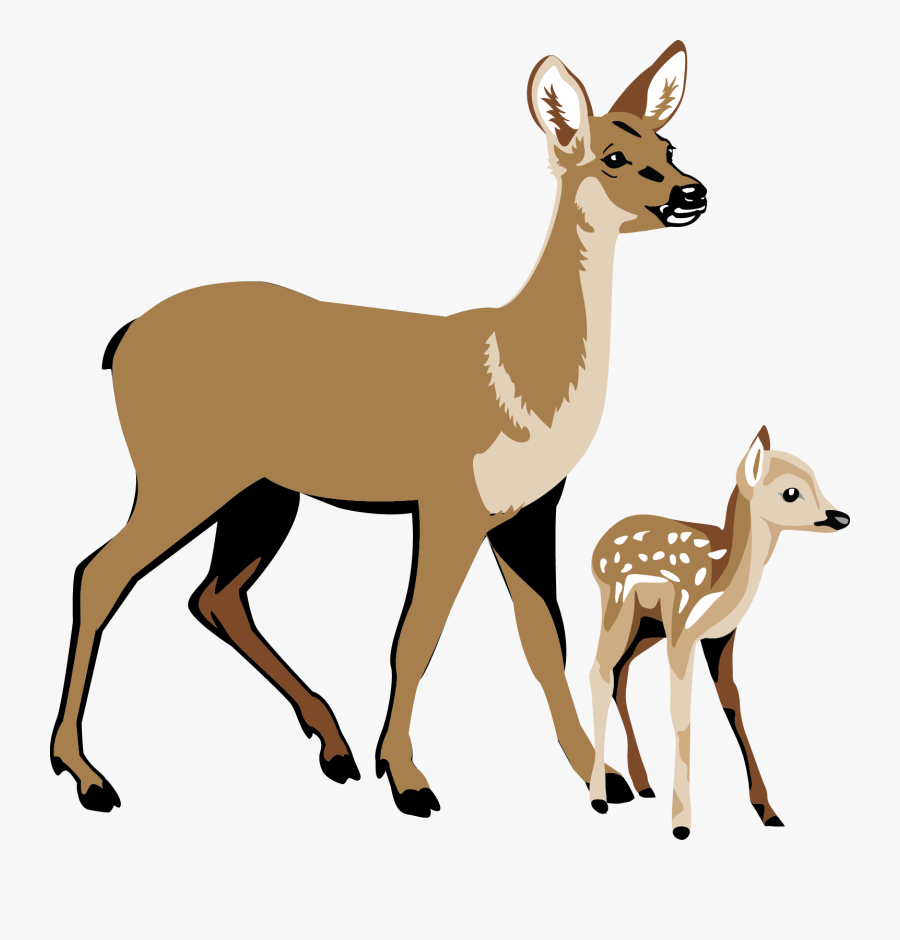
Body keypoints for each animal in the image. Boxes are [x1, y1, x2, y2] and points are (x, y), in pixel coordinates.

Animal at [51, 42, 708, 817]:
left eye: (669, 145)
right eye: (612, 154)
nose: (691, 193)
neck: (522, 379)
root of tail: (119, 341)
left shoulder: (529, 510)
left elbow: (546, 641)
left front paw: (600, 780)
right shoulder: (450, 502)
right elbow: (414, 635)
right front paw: (410, 780)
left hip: (263, 489)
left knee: (214, 594)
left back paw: (334, 749)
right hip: (184, 471)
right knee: (101, 572)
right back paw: (86, 774)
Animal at [588, 427, 849, 838]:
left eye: (817, 479)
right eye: (791, 492)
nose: (841, 516)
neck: (722, 576)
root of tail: (595, 550)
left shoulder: (721, 636)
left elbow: (733, 703)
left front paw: (768, 811)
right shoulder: (682, 625)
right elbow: (681, 713)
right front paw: (681, 824)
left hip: (647, 628)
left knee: (619, 672)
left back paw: (643, 785)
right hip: (618, 605)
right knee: (599, 670)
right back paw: (600, 799)